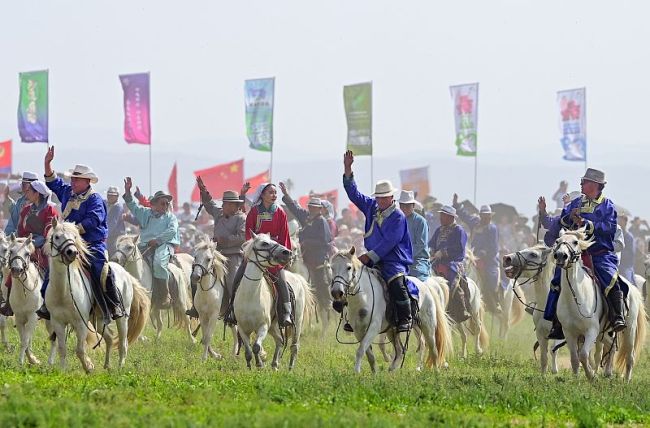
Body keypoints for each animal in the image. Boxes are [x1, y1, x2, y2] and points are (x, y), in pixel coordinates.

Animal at [7, 234, 55, 364]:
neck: (24, 293)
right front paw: (32, 359)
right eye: (11, 251)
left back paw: (50, 362)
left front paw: (21, 362)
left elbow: (25, 341)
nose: (16, 270)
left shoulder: (32, 317)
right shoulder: (19, 319)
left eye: (27, 253)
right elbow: (25, 340)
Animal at [45, 219, 149, 372]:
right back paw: (107, 365)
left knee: (123, 344)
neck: (63, 291)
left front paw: (89, 367)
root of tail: (126, 274)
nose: (72, 252)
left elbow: (80, 350)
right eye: (57, 236)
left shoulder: (81, 323)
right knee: (110, 338)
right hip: (100, 320)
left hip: (122, 318)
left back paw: (120, 368)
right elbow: (62, 349)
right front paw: (63, 371)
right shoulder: (58, 322)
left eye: (75, 237)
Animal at [234, 232, 316, 370]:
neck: (250, 295)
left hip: (296, 322)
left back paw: (290, 368)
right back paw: (274, 364)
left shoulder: (263, 326)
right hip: (273, 326)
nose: (287, 252)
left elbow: (256, 347)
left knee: (294, 346)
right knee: (280, 340)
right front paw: (251, 366)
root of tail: (298, 277)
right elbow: (248, 351)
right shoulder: (242, 328)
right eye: (264, 243)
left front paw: (260, 365)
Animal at [552, 231, 644, 382]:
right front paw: (577, 379)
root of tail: (633, 289)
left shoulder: (591, 331)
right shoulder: (569, 332)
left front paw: (591, 376)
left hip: (630, 329)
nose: (560, 255)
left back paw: (626, 380)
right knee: (612, 346)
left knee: (630, 356)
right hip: (603, 333)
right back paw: (607, 373)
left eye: (575, 242)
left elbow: (583, 355)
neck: (575, 297)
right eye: (557, 241)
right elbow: (575, 358)